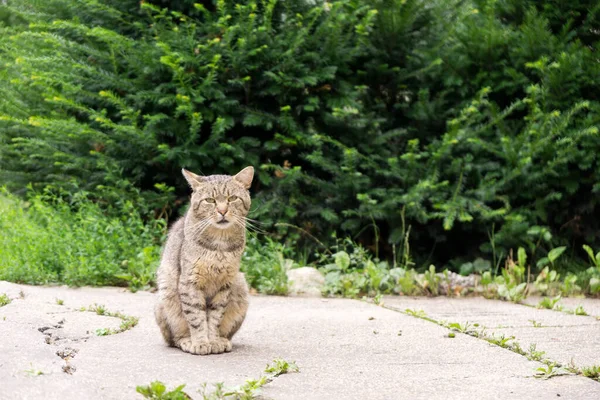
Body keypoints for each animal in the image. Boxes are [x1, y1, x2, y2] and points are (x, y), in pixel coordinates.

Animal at [155, 167, 253, 354]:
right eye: (210, 200)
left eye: (232, 198)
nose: (222, 211)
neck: (219, 246)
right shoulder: (189, 282)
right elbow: (196, 317)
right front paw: (200, 342)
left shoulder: (225, 284)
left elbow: (215, 318)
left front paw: (213, 341)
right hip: (166, 292)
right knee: (174, 338)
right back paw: (187, 341)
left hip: (240, 285)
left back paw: (223, 340)